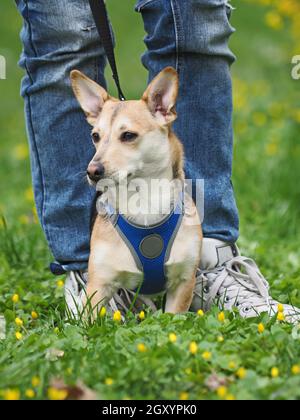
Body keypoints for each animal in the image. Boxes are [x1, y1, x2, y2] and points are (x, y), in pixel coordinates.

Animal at [70, 66, 202, 316]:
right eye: (95, 136)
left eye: (128, 135)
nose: (92, 171)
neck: (143, 199)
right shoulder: (99, 286)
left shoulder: (184, 281)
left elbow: (174, 317)